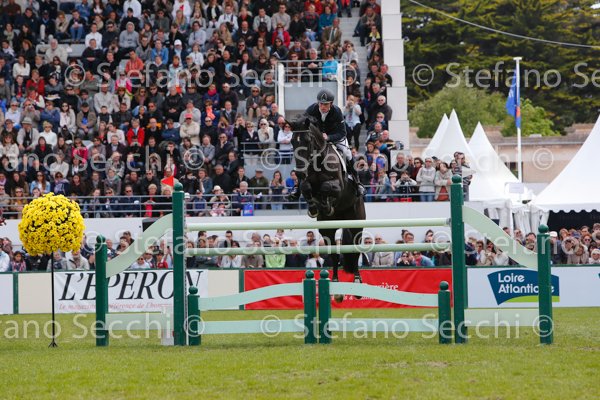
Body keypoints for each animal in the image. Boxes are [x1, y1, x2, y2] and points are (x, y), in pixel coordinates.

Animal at [289, 114, 366, 301]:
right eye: (293, 142)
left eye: (308, 141)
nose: (299, 172)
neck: (317, 160)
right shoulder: (307, 183)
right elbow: (306, 187)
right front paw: (314, 207)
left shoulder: (338, 186)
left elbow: (326, 187)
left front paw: (326, 203)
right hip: (328, 229)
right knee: (334, 254)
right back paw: (336, 287)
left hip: (356, 224)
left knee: (355, 250)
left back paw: (357, 282)